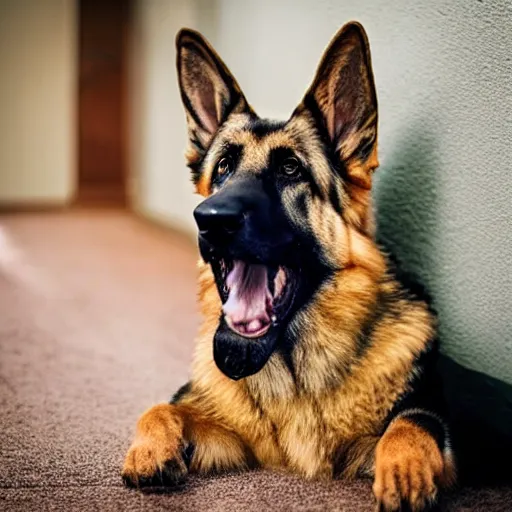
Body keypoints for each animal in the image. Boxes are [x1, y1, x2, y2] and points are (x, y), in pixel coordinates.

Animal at [123, 22, 456, 510]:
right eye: (222, 167)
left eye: (291, 170)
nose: (210, 219)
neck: (294, 375)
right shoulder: (231, 439)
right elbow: (161, 407)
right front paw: (150, 448)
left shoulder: (389, 439)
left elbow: (412, 422)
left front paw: (405, 472)